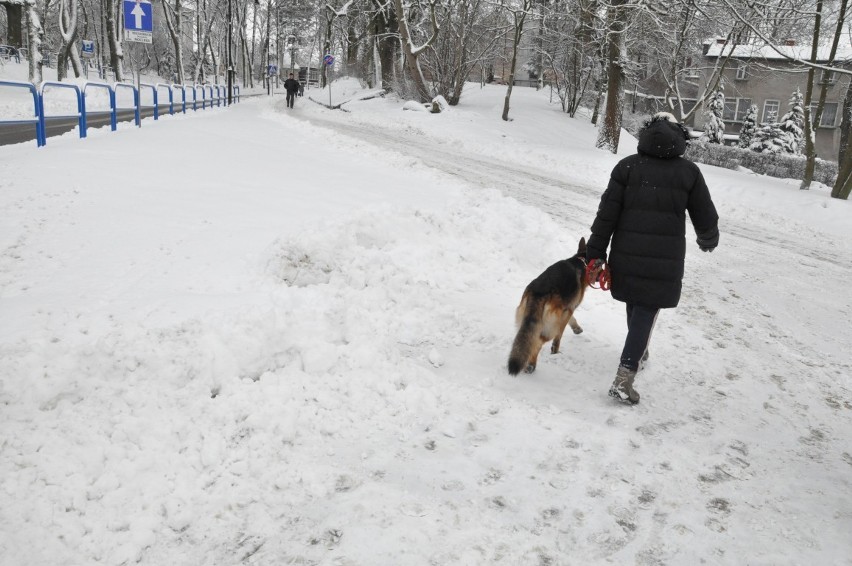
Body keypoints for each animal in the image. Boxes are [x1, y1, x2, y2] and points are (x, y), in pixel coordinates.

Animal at [506, 240, 592, 378]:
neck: (580, 260)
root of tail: (539, 292)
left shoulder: (566, 310)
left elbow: (572, 320)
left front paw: (577, 328)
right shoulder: (569, 310)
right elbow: (560, 334)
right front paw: (555, 350)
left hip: (527, 321)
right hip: (550, 327)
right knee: (537, 343)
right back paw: (531, 365)